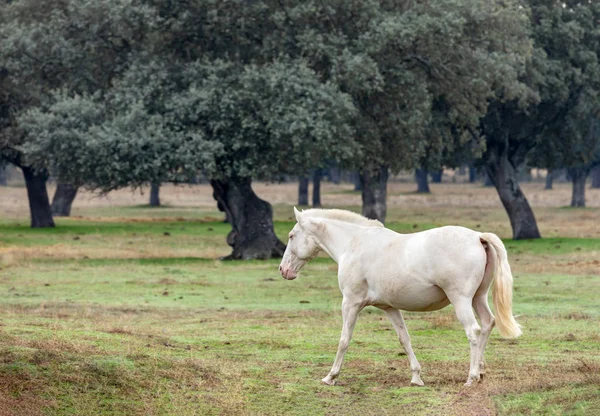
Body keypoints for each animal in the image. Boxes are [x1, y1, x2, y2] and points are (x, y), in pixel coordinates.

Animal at [280, 208, 520, 386]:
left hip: (461, 300)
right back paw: (480, 372)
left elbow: (344, 339)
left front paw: (331, 376)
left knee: (474, 331)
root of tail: (478, 237)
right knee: (487, 324)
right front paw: (416, 377)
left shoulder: (350, 303)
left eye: (291, 236)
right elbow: (404, 339)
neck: (354, 243)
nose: (283, 270)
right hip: (478, 298)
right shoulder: (390, 308)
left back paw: (471, 378)